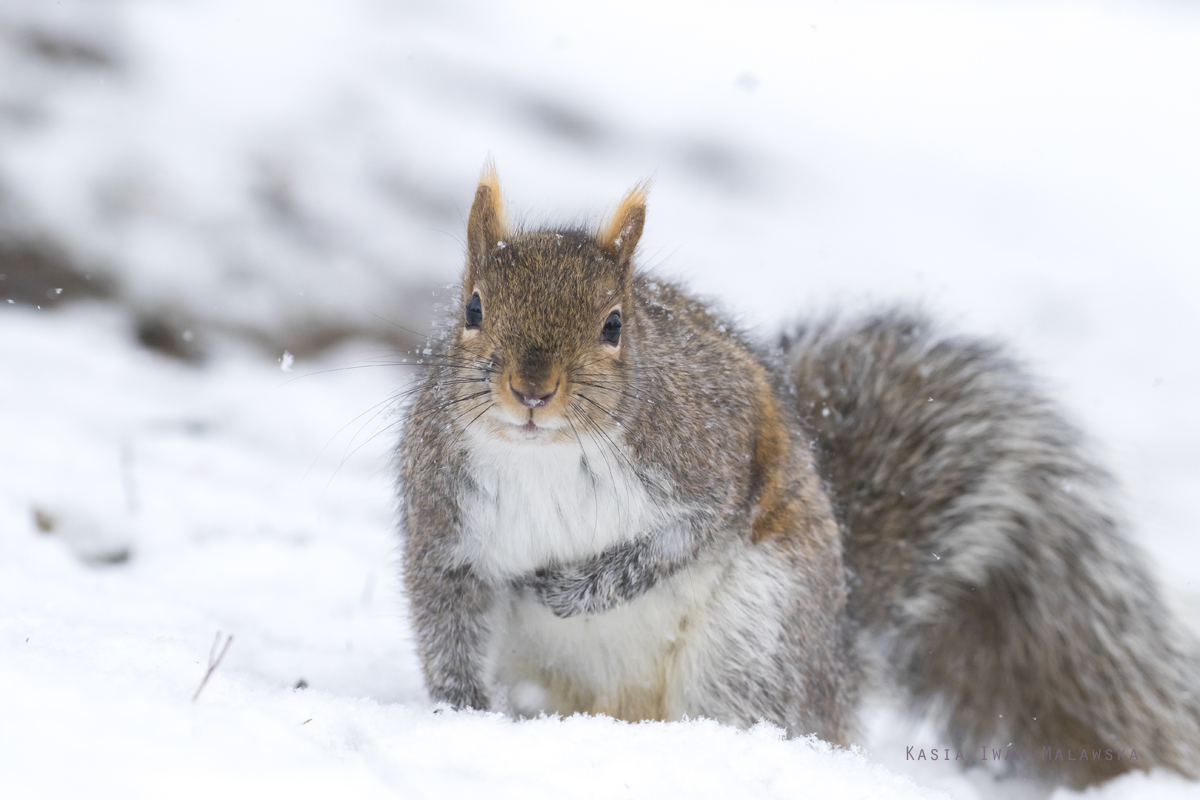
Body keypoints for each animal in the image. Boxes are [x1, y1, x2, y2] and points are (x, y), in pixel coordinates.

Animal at [396, 165, 1200, 791]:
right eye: (472, 308)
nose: (532, 391)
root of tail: (839, 668)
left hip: (757, 638)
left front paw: (577, 588)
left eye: (614, 325)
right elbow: (445, 615)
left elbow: (680, 540)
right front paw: (463, 713)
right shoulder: (444, 523)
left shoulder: (712, 459)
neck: (545, 454)